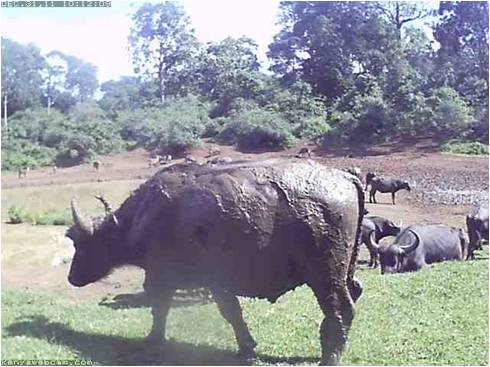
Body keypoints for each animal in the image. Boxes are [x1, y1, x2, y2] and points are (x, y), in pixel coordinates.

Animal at [68, 160, 368, 366]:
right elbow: (230, 313)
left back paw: (329, 358)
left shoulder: (167, 277)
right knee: (354, 291)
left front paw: (153, 340)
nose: (71, 277)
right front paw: (247, 347)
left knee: (341, 310)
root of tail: (345, 175)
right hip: (345, 270)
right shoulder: (209, 283)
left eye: (80, 243)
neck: (144, 216)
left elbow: (165, 309)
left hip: (325, 275)